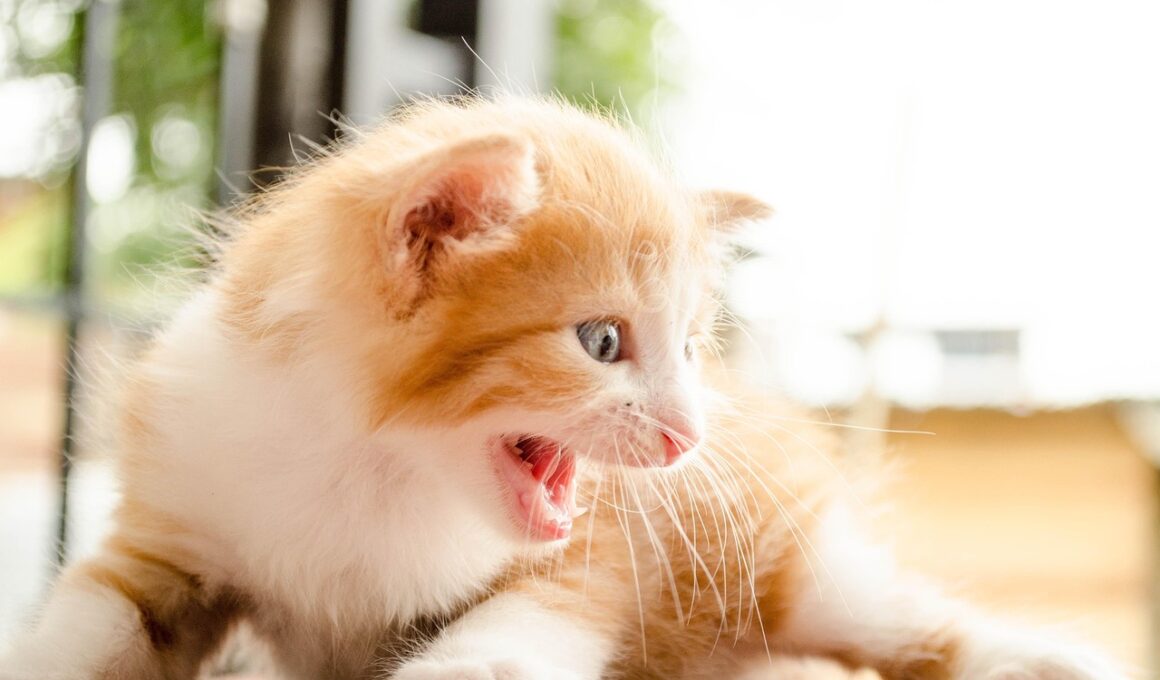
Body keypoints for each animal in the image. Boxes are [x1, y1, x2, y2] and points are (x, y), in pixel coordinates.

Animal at [0, 97, 1125, 680]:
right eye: (601, 340)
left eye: (689, 345)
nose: (687, 435)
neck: (371, 463)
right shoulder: (176, 515)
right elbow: (94, 619)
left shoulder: (595, 556)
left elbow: (499, 648)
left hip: (786, 563)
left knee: (917, 629)